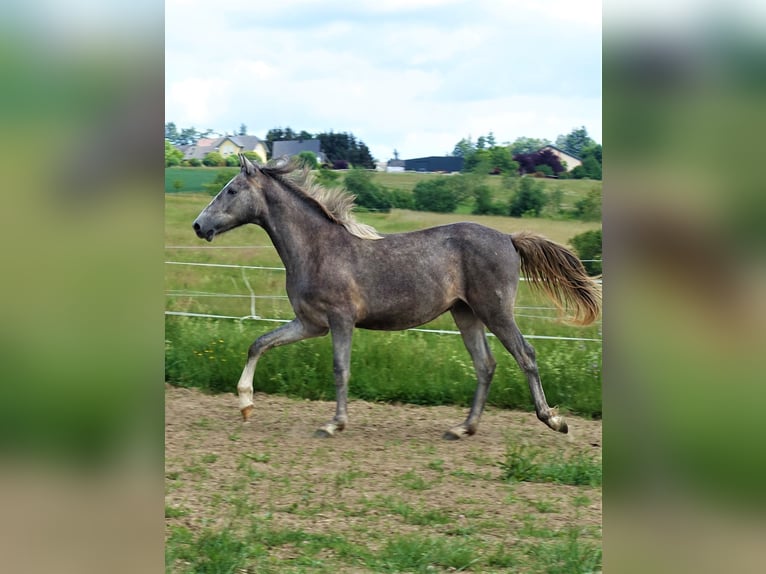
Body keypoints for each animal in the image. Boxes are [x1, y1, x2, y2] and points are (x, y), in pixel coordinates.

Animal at [192, 155, 600, 438]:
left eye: (231, 190)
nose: (199, 225)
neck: (316, 248)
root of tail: (509, 239)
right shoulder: (310, 323)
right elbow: (259, 343)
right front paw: (246, 405)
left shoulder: (340, 320)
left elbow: (340, 369)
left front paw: (333, 424)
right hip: (465, 313)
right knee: (486, 365)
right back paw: (462, 428)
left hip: (495, 310)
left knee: (525, 355)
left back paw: (554, 421)